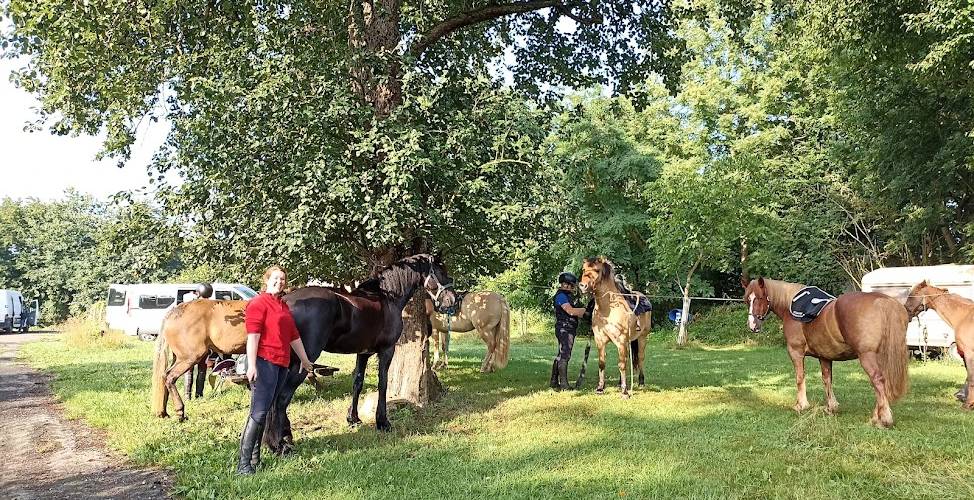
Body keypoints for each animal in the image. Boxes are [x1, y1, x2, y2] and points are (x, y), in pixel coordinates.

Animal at [578, 257, 651, 399]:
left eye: (597, 270)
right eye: (584, 269)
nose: (582, 286)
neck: (607, 310)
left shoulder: (621, 340)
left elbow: (622, 365)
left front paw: (625, 392)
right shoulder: (600, 340)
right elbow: (602, 363)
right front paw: (600, 388)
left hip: (642, 338)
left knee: (640, 358)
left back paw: (641, 381)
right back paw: (619, 383)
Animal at [743, 277, 909, 428]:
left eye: (759, 297)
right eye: (747, 300)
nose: (752, 326)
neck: (790, 307)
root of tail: (883, 301)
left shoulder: (795, 352)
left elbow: (800, 377)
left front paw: (801, 405)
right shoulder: (824, 357)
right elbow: (827, 379)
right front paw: (831, 407)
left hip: (867, 356)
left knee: (877, 380)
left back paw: (883, 419)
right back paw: (876, 417)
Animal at [905, 280, 974, 409]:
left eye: (913, 294)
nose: (906, 312)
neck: (963, 316)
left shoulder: (969, 353)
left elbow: (971, 377)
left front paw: (967, 404)